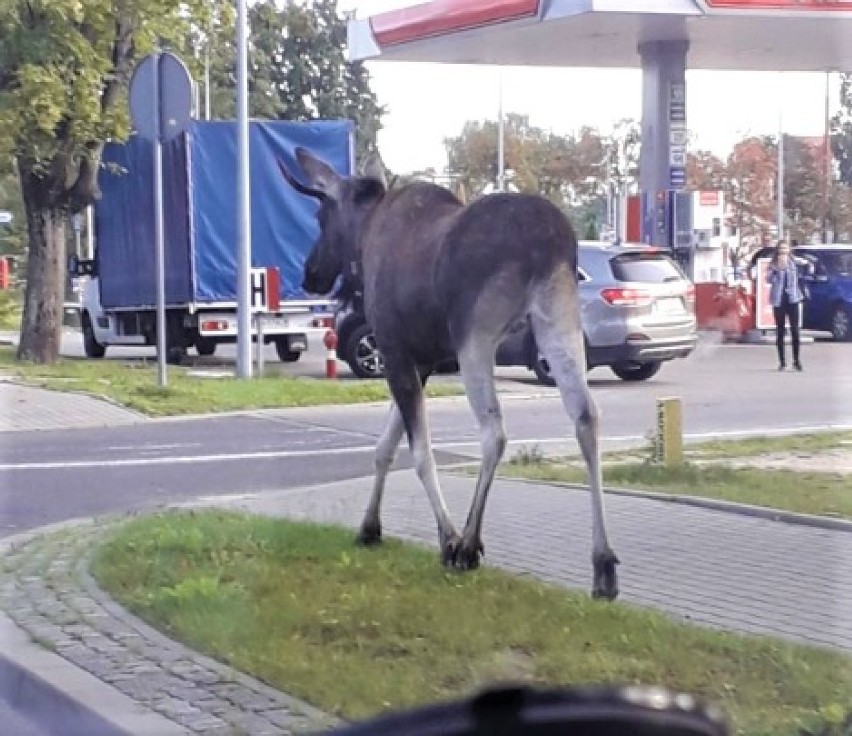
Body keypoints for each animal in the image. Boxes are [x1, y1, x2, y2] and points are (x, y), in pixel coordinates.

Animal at [280, 148, 620, 600]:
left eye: (320, 217)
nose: (310, 273)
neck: (367, 234)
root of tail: (549, 241)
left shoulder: (395, 350)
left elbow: (420, 453)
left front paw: (448, 538)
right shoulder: (420, 361)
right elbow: (384, 447)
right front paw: (369, 527)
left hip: (475, 337)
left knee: (494, 431)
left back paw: (470, 543)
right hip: (558, 316)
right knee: (586, 415)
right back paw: (603, 564)